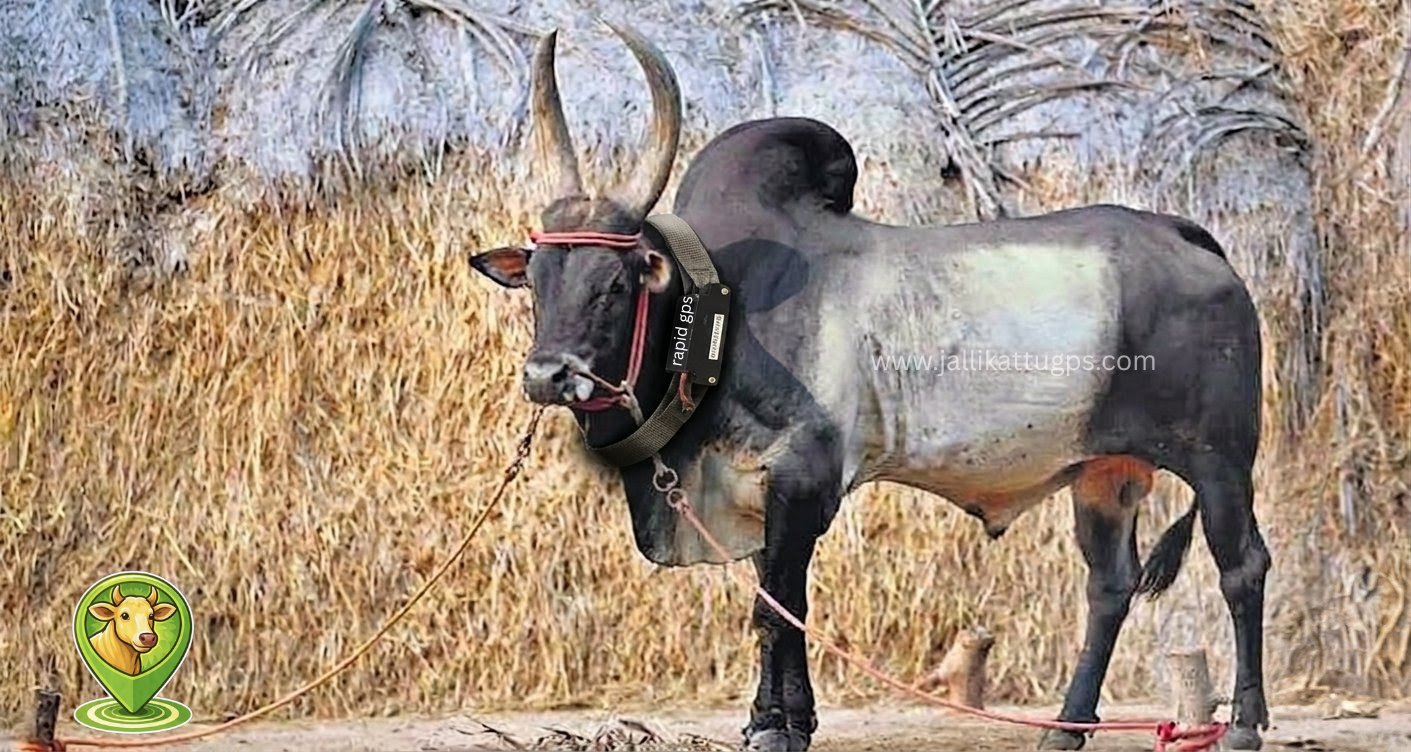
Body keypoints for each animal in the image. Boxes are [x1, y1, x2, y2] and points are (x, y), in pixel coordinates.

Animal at [467, 23, 1270, 752]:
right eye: (537, 281)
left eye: (616, 283)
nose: (547, 375)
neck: (720, 310)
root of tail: (1189, 237)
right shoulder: (758, 491)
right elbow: (778, 599)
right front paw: (776, 719)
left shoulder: (803, 475)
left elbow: (776, 608)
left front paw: (777, 731)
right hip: (1103, 472)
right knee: (1109, 586)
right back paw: (1062, 731)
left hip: (1220, 460)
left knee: (1242, 567)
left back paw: (1242, 725)